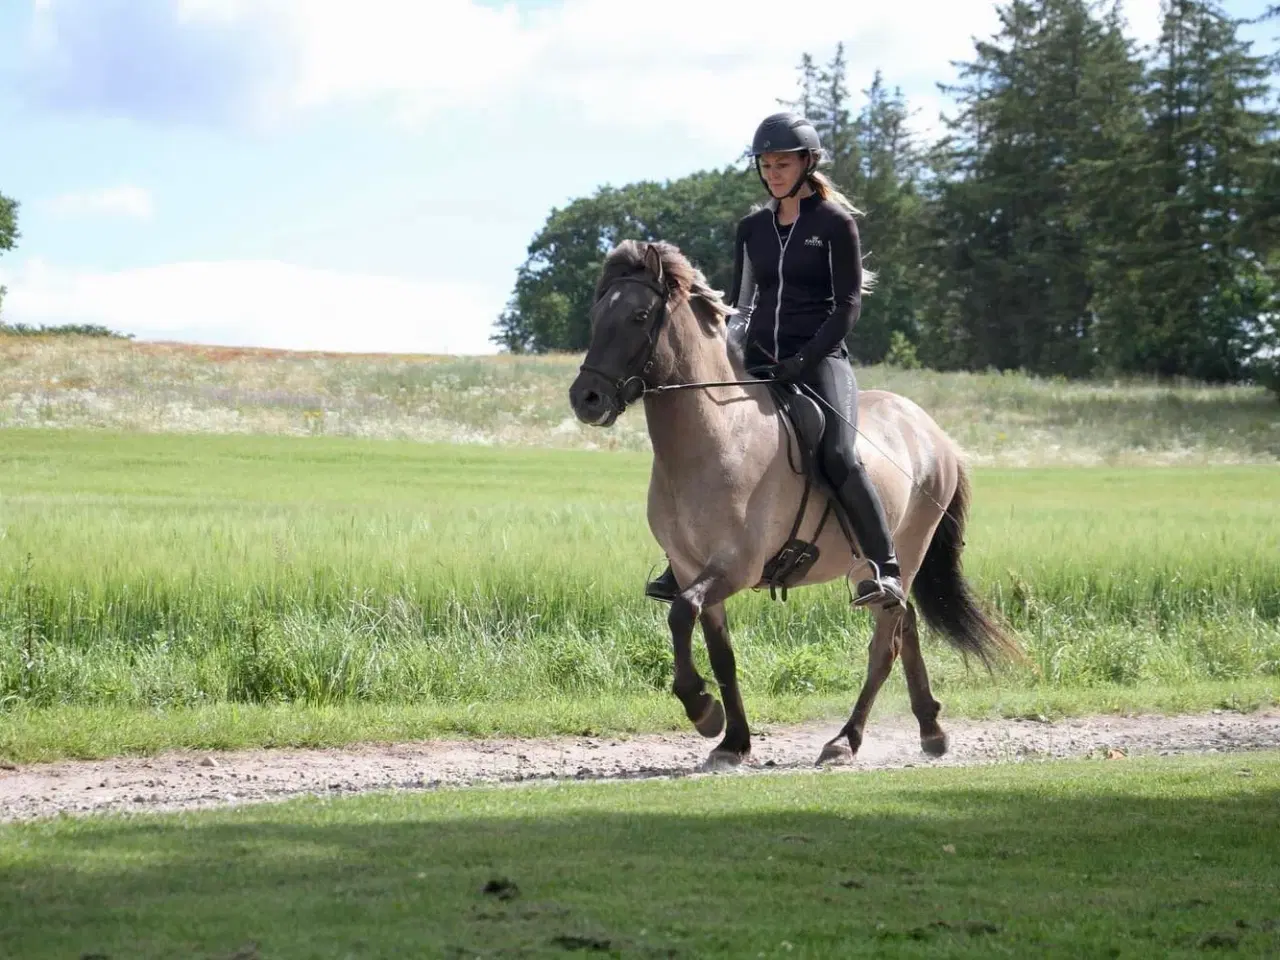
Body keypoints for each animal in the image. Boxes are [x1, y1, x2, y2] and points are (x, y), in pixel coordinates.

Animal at [568, 240, 1018, 773]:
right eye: (597, 313)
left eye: (639, 315)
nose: (587, 398)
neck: (714, 437)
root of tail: (934, 432)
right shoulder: (689, 567)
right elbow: (720, 653)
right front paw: (732, 742)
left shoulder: (733, 567)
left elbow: (681, 613)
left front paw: (702, 710)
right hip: (871, 569)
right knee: (904, 626)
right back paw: (931, 730)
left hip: (908, 551)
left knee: (883, 648)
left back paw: (845, 741)